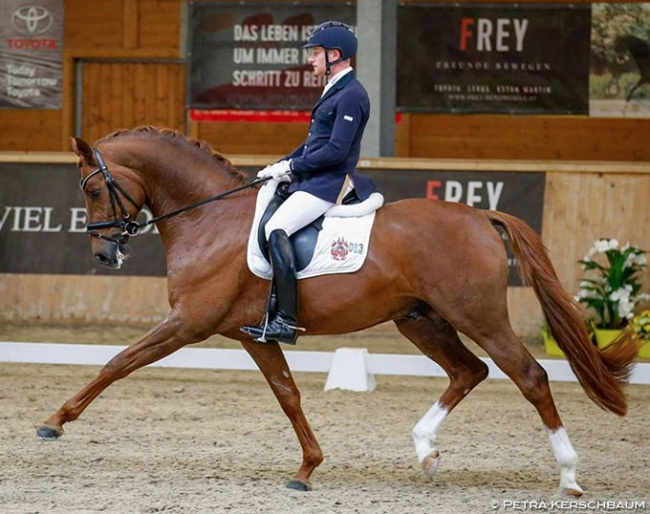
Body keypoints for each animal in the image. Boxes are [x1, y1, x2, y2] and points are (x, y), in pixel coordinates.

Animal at [34, 124, 632, 492]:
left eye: (92, 189)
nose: (104, 254)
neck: (209, 218)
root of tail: (481, 216)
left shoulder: (189, 323)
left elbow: (119, 362)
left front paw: (54, 422)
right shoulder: (251, 334)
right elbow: (289, 395)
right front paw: (307, 468)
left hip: (476, 315)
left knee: (529, 376)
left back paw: (569, 476)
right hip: (420, 320)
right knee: (470, 371)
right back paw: (425, 451)